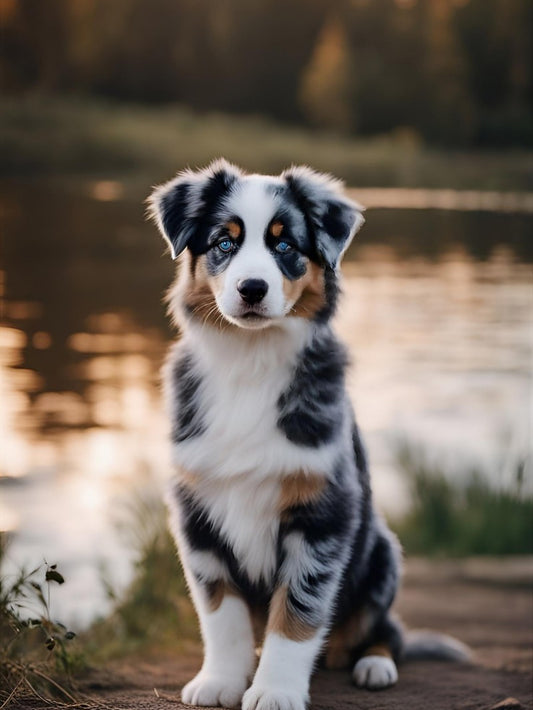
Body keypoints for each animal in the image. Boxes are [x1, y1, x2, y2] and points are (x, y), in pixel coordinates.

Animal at [147, 161, 466, 710]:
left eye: (285, 245)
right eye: (224, 243)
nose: (252, 288)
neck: (250, 362)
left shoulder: (322, 513)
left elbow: (297, 611)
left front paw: (274, 690)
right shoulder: (197, 512)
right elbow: (221, 612)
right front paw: (221, 680)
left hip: (383, 554)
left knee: (389, 630)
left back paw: (375, 664)